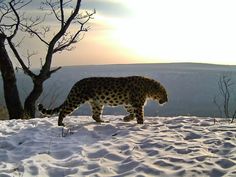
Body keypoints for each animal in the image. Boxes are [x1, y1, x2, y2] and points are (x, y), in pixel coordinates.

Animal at [38, 75, 168, 126]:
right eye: (165, 93)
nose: (167, 100)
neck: (148, 88)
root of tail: (76, 84)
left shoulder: (129, 104)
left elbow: (132, 113)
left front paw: (126, 119)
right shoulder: (136, 104)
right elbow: (140, 115)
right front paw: (141, 124)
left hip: (97, 103)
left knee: (95, 115)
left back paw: (102, 121)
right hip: (76, 99)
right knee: (63, 111)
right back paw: (60, 124)